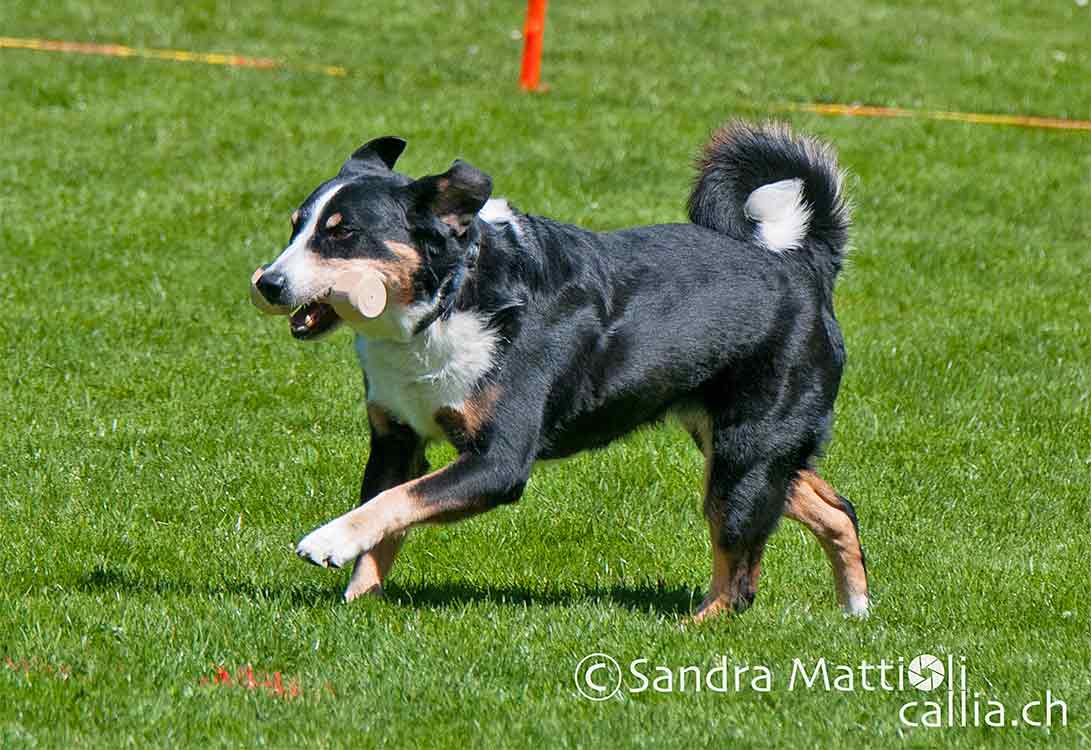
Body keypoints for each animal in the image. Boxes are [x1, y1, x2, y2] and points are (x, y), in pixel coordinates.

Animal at [253, 120, 868, 620]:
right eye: (295, 227)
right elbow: (384, 520)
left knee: (739, 579)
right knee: (836, 509)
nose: (267, 283)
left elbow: (394, 503)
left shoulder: (498, 461)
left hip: (745, 455)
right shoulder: (396, 438)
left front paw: (329, 541)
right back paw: (855, 609)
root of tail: (803, 264)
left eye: (341, 233)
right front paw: (359, 601)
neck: (449, 301)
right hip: (742, 447)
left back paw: (691, 629)